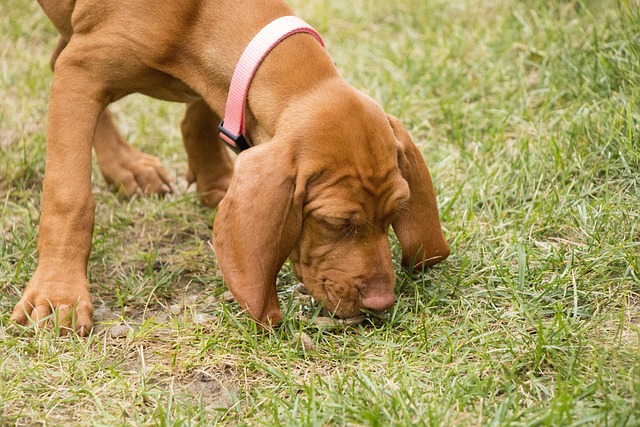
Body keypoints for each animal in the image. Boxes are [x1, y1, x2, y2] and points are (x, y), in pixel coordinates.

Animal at [11, 0, 450, 334]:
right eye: (335, 223)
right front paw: (59, 293)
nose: (382, 302)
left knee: (55, 55)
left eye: (394, 213)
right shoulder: (83, 72)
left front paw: (218, 183)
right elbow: (70, 198)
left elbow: (203, 117)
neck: (198, 17)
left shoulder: (223, 89)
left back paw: (127, 166)